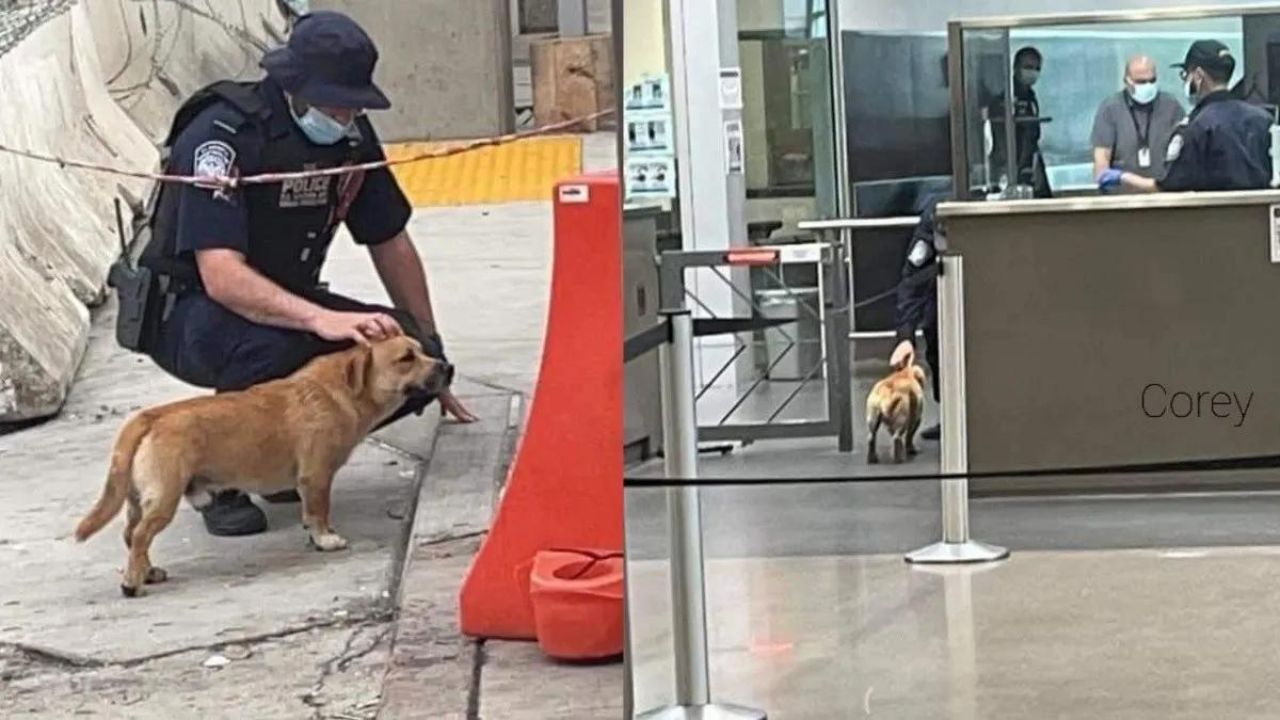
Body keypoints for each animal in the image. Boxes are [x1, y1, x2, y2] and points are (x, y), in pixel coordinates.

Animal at [72, 333, 450, 597]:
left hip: (139, 499)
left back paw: (147, 571)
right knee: (139, 535)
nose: (446, 367)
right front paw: (325, 539)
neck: (342, 390)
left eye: (420, 350)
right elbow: (318, 512)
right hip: (165, 497)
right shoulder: (317, 476)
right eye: (406, 358)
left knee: (130, 533)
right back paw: (132, 583)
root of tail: (149, 417)